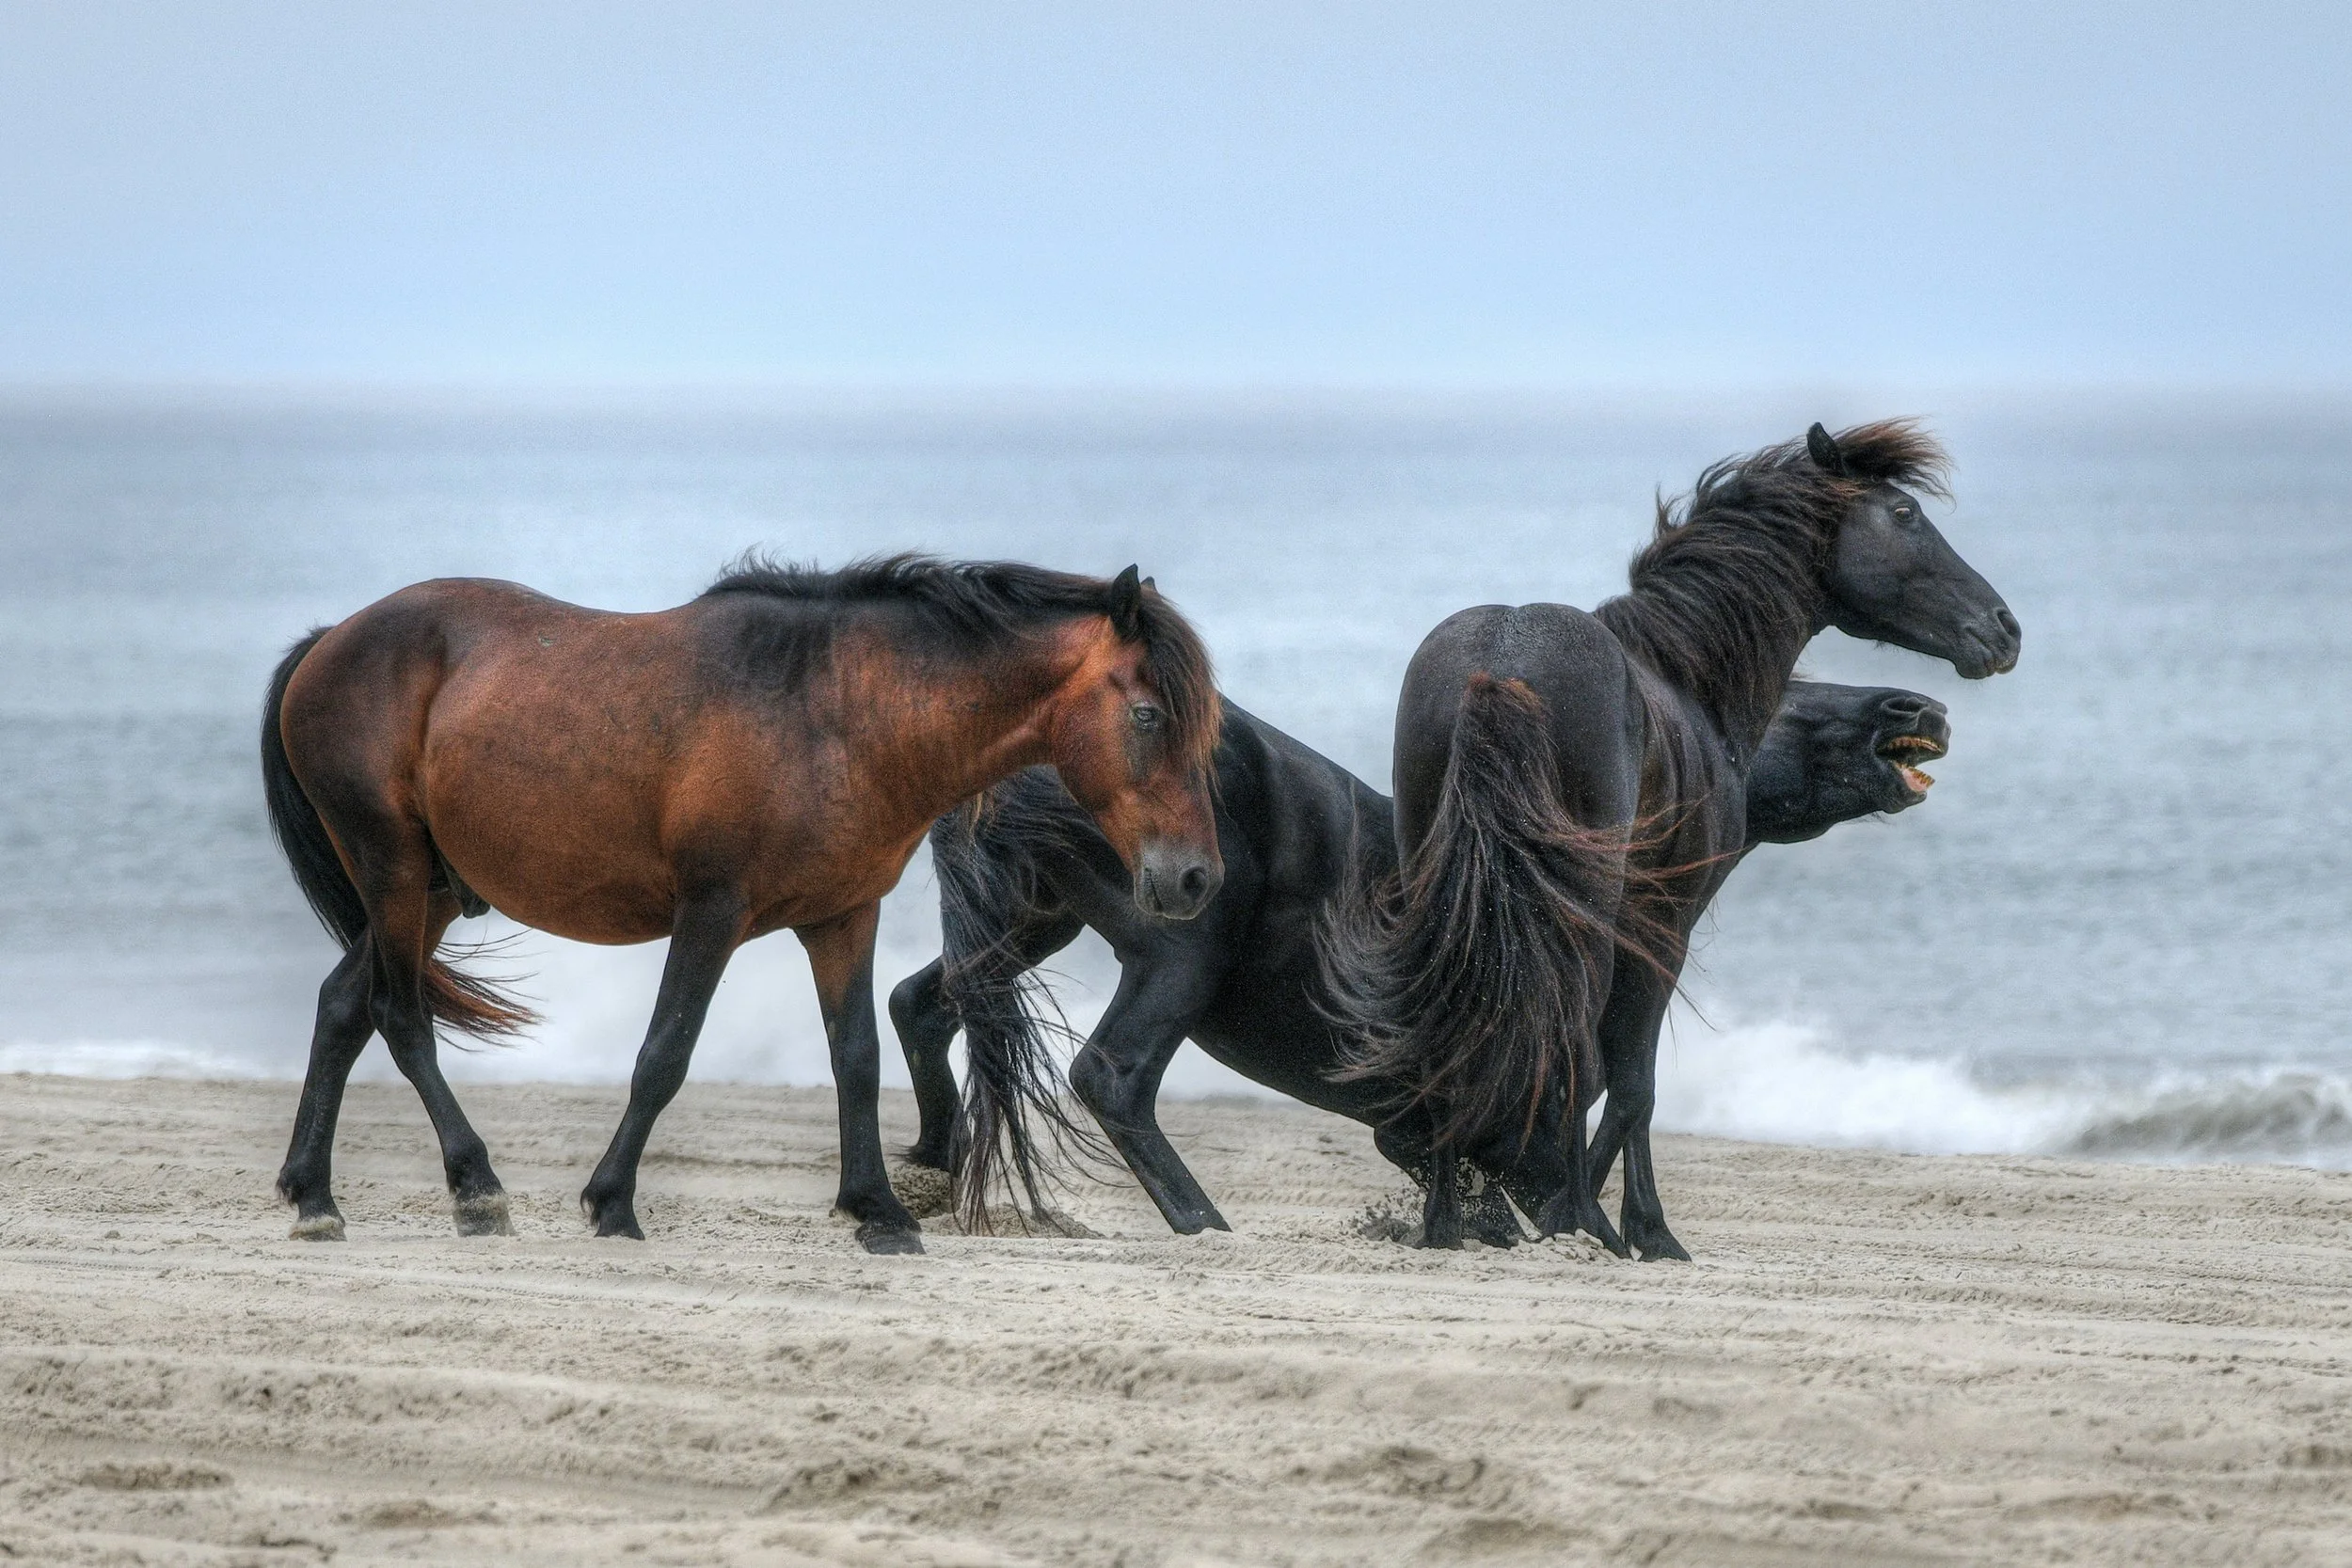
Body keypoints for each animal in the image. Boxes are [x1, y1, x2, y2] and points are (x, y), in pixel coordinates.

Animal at [258, 554, 1222, 1255]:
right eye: (1146, 715)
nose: (1197, 880)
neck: (838, 715)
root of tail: (330, 641)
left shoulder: (844, 917)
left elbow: (856, 1056)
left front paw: (877, 1210)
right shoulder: (712, 911)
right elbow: (665, 1054)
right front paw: (613, 1203)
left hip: (431, 891)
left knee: (343, 1006)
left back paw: (314, 1195)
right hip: (391, 868)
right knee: (398, 1015)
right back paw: (476, 1188)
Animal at [890, 679, 1948, 1240]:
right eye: (1790, 701)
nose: (1911, 703)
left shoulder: (1429, 1123)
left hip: (1028, 919)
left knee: (918, 1003)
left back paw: (931, 1169)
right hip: (1183, 942)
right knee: (1109, 1074)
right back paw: (1202, 1221)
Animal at [1321, 420, 2019, 1256]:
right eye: (1905, 513)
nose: (2003, 630)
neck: (1687, 684)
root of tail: (1500, 666)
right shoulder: (1662, 928)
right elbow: (1632, 1083)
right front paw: (1624, 1227)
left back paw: (1446, 1224)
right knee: (1570, 1048)